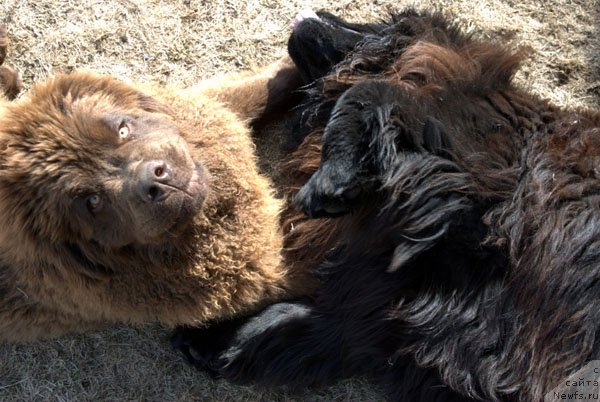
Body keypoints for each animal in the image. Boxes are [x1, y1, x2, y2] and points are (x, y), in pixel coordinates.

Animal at [171, 10, 600, 402]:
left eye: (363, 21)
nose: (313, 12)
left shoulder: (466, 153)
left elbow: (369, 93)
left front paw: (328, 183)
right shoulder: (375, 306)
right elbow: (309, 326)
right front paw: (215, 340)